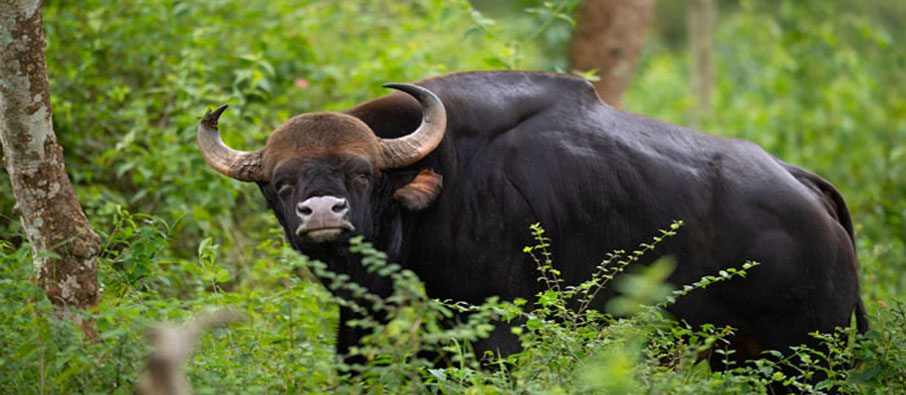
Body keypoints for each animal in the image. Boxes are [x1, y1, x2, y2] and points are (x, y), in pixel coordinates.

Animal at [200, 71, 868, 368]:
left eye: (362, 173)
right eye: (280, 184)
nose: (321, 213)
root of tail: (805, 187)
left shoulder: (496, 333)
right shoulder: (360, 329)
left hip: (810, 350)